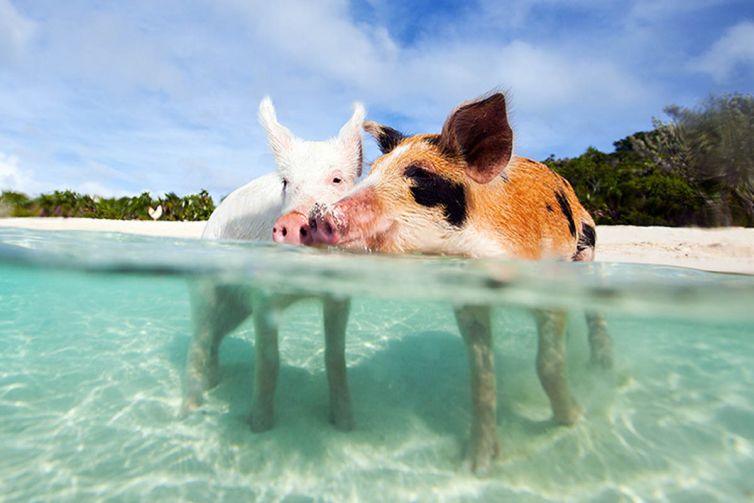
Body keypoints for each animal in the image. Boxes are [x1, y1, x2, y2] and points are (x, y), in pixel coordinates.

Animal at [183, 96, 364, 432]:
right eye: (285, 183)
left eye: (337, 179)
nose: (292, 222)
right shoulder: (263, 295)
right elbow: (268, 360)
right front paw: (259, 426)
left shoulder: (339, 296)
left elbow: (335, 357)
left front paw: (346, 424)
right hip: (206, 288)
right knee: (199, 341)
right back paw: (189, 410)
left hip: (236, 309)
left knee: (214, 338)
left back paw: (214, 383)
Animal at [308, 92, 612, 472]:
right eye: (373, 171)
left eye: (421, 176)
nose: (317, 216)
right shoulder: (469, 303)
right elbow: (482, 377)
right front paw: (477, 465)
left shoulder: (548, 284)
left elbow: (547, 364)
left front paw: (572, 420)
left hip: (587, 250)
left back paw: (601, 369)